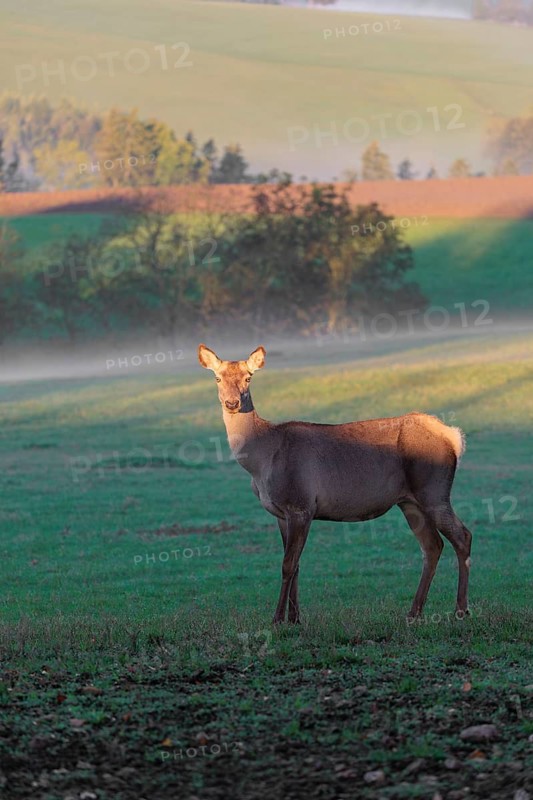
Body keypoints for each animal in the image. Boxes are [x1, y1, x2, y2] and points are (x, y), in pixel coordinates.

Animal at [198, 344, 472, 625]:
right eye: (217, 378)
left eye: (248, 378)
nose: (232, 403)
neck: (261, 460)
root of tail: (453, 437)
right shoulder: (281, 513)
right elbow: (296, 564)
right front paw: (294, 618)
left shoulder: (300, 505)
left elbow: (287, 564)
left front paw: (277, 619)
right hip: (409, 502)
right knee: (432, 545)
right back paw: (414, 612)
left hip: (434, 491)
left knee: (462, 536)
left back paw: (460, 609)